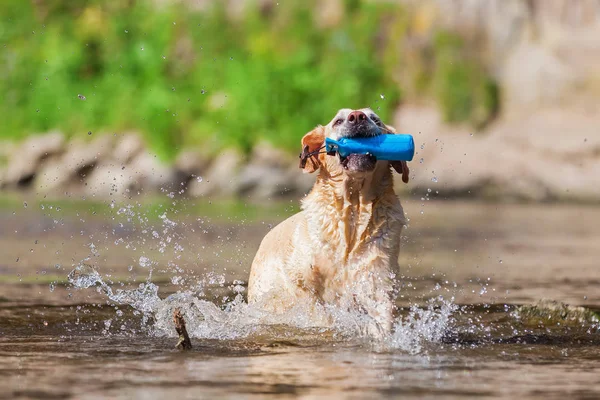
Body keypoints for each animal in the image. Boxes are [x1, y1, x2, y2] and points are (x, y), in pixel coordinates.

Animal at [246, 108, 410, 336]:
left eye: (375, 119)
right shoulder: (300, 280)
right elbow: (320, 312)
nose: (357, 116)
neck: (353, 210)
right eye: (338, 121)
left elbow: (381, 317)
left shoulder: (377, 278)